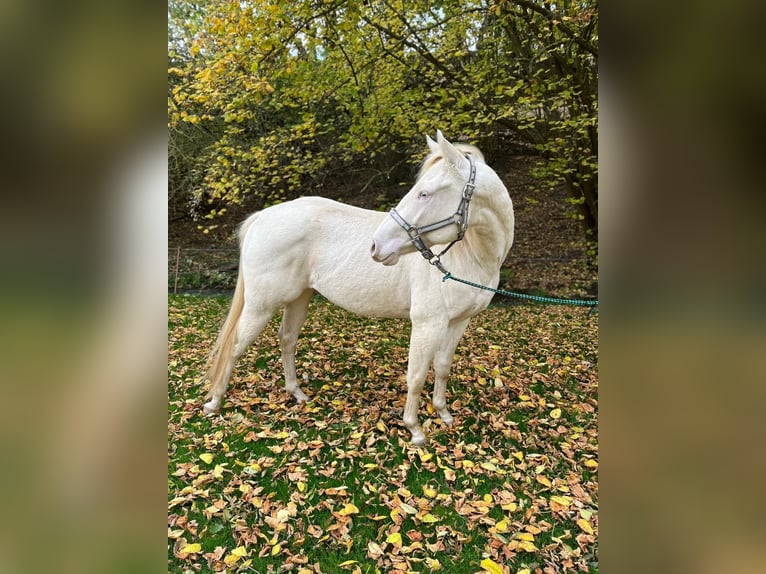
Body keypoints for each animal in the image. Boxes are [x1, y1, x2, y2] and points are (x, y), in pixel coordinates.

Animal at [202, 130, 514, 445]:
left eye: (424, 193)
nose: (376, 246)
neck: (471, 255)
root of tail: (263, 217)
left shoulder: (458, 322)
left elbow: (442, 367)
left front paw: (443, 413)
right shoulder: (428, 324)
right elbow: (415, 376)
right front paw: (414, 429)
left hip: (299, 298)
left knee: (287, 339)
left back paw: (297, 393)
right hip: (261, 305)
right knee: (236, 346)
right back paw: (215, 402)